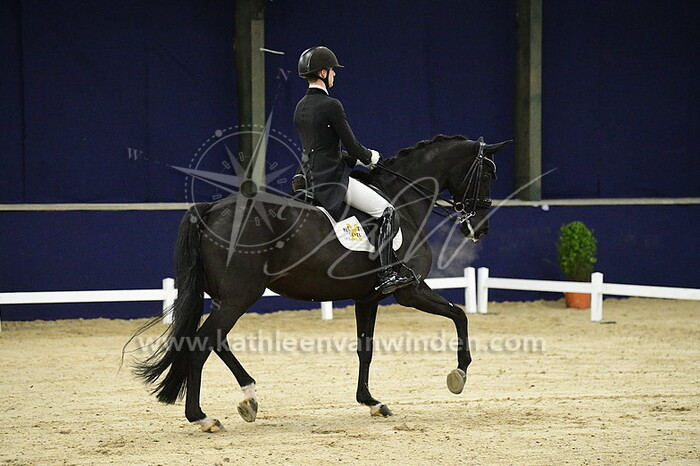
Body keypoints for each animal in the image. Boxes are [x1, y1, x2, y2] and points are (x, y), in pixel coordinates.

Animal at [132, 134, 511, 432]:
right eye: (488, 174)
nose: (479, 228)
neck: (404, 200)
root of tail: (212, 209)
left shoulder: (368, 297)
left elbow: (365, 349)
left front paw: (372, 402)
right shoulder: (409, 290)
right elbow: (460, 314)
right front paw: (459, 374)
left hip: (230, 298)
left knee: (217, 341)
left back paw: (249, 398)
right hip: (240, 296)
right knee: (203, 344)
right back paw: (202, 417)